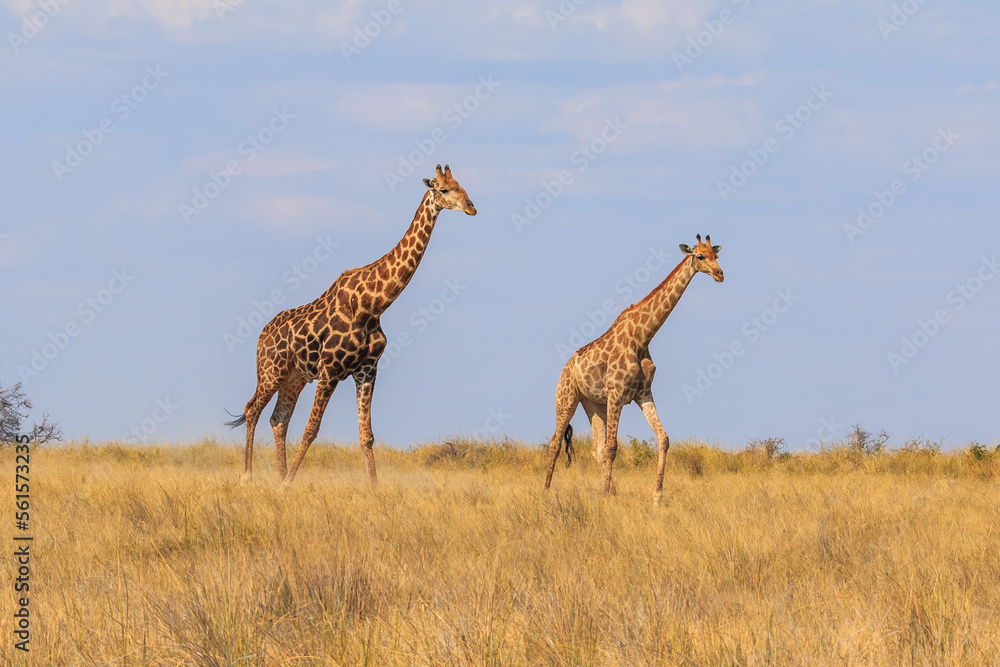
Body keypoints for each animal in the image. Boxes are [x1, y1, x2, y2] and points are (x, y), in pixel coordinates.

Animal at [227, 164, 476, 484]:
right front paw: (289, 485)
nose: (471, 207)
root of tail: (260, 336)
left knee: (278, 418)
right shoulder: (330, 369)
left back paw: (279, 475)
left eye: (462, 185)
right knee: (252, 410)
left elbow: (366, 435)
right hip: (272, 370)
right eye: (444, 189)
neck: (373, 304)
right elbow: (311, 429)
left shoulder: (367, 369)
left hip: (295, 377)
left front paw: (373, 486)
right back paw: (248, 476)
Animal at [543, 234, 724, 503]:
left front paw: (657, 495)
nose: (720, 274)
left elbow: (663, 439)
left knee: (595, 448)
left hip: (593, 403)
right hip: (566, 398)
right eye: (700, 256)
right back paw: (547, 490)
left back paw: (613, 490)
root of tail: (565, 369)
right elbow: (613, 447)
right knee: (556, 442)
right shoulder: (617, 393)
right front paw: (607, 497)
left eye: (716, 255)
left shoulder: (643, 393)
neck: (642, 337)